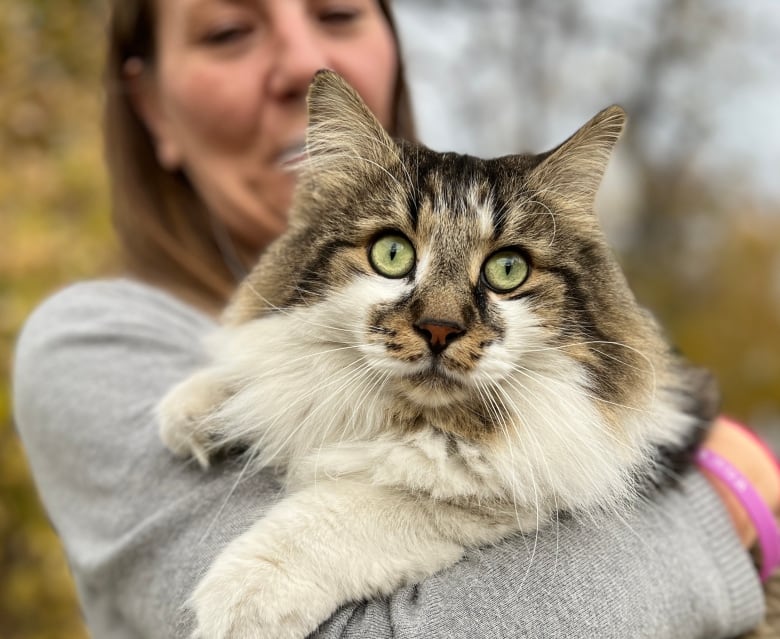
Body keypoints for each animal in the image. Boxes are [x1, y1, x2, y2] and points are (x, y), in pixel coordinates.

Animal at [157, 70, 720, 639]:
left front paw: (243, 595)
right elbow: (274, 372)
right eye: (392, 253)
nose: (439, 329)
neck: (416, 418)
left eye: (508, 270)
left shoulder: (521, 493)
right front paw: (201, 408)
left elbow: (364, 504)